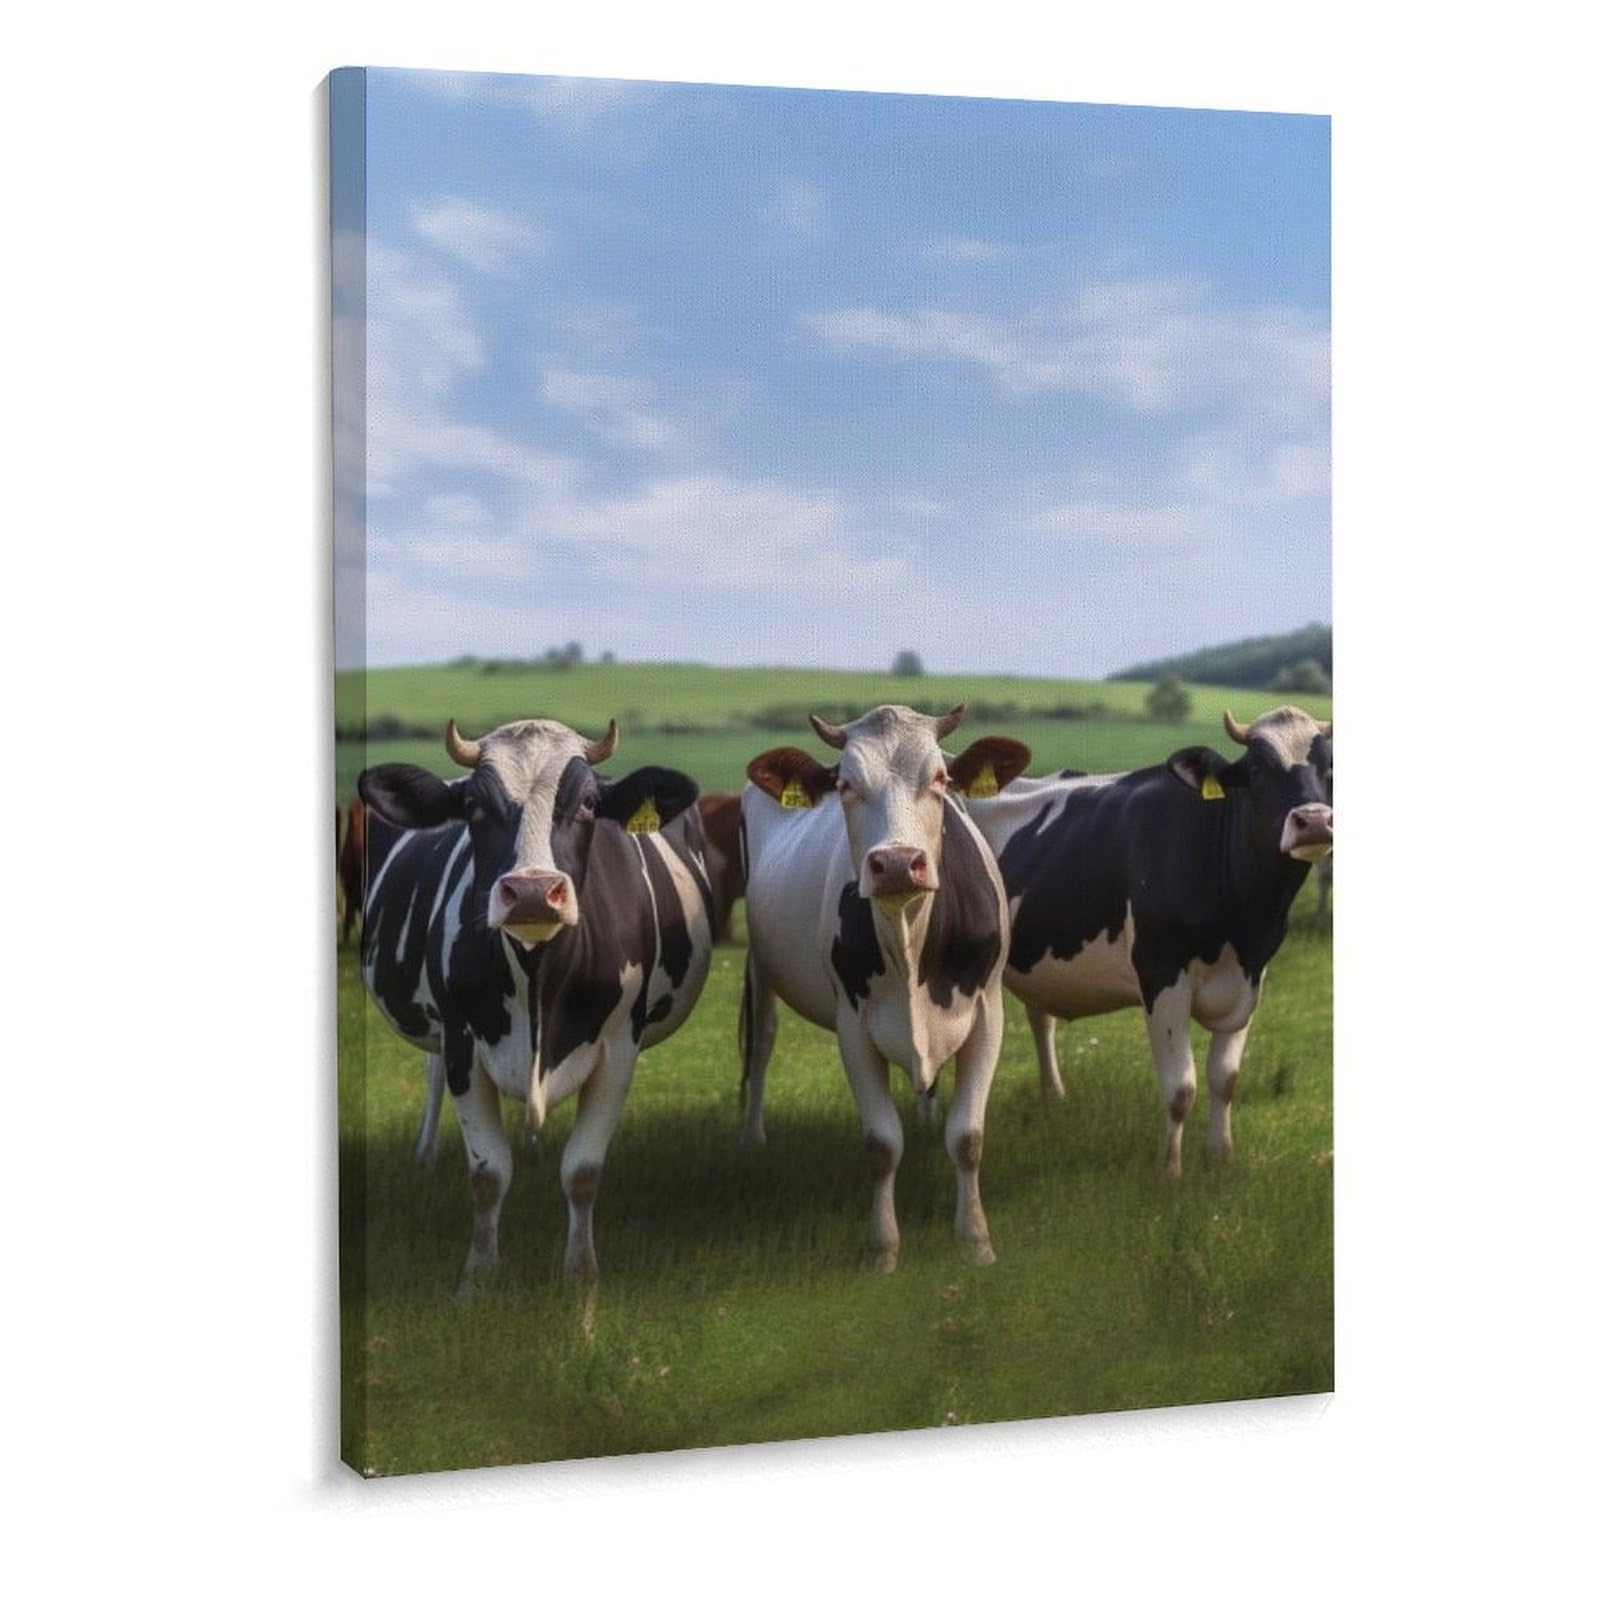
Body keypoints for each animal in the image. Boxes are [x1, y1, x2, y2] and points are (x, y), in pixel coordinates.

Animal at [357, 716, 714, 1289]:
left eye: (588, 802)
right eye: (474, 805)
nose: (531, 892)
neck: (539, 979)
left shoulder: (620, 1047)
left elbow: (583, 1171)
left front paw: (582, 1276)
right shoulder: (462, 1040)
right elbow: (487, 1174)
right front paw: (478, 1277)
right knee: (434, 1074)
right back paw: (426, 1154)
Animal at [739, 704, 1031, 1271]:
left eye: (939, 778)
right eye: (845, 784)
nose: (897, 863)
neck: (909, 944)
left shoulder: (988, 1013)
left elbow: (967, 1136)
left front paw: (975, 1240)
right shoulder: (853, 1028)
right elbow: (880, 1143)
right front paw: (882, 1248)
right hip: (760, 965)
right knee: (760, 1042)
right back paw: (754, 1137)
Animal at [961, 704, 1332, 1177]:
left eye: (1330, 769)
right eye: (1258, 770)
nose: (1314, 821)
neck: (1243, 923)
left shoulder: (1249, 978)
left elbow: (1225, 1079)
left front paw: (1221, 1159)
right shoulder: (1162, 975)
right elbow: (1181, 1088)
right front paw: (1169, 1172)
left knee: (1040, 1018)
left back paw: (1055, 1098)